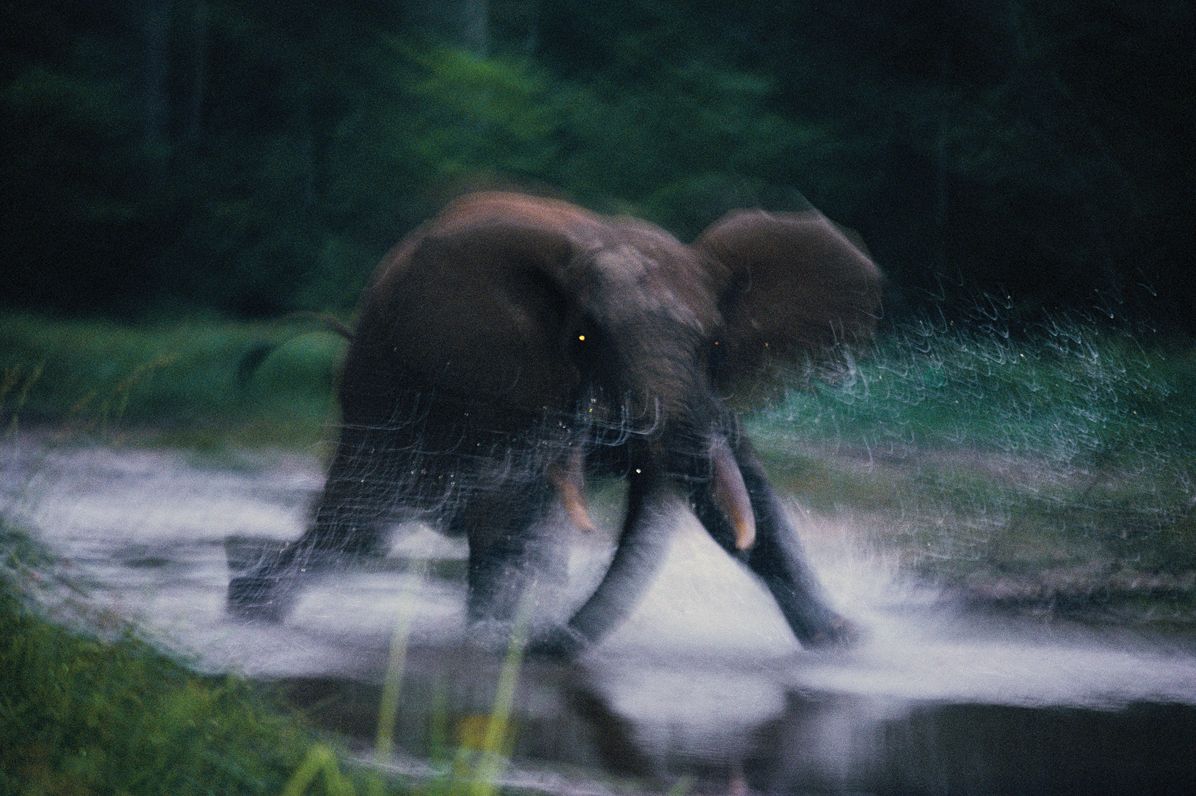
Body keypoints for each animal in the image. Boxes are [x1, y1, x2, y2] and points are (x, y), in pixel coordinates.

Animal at [227, 191, 883, 656]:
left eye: (714, 346)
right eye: (585, 339)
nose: (552, 641)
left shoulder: (709, 399)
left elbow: (740, 498)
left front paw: (842, 646)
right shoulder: (508, 379)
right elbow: (514, 511)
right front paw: (506, 640)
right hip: (376, 388)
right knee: (364, 522)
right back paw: (250, 604)